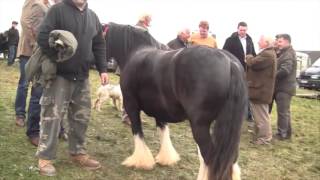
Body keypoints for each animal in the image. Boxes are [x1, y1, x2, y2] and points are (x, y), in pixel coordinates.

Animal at [105, 22, 248, 180]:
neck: (136, 51)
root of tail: (230, 63)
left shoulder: (131, 106)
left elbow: (138, 132)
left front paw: (141, 161)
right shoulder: (159, 110)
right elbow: (163, 131)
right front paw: (165, 158)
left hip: (200, 126)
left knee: (209, 157)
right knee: (229, 159)